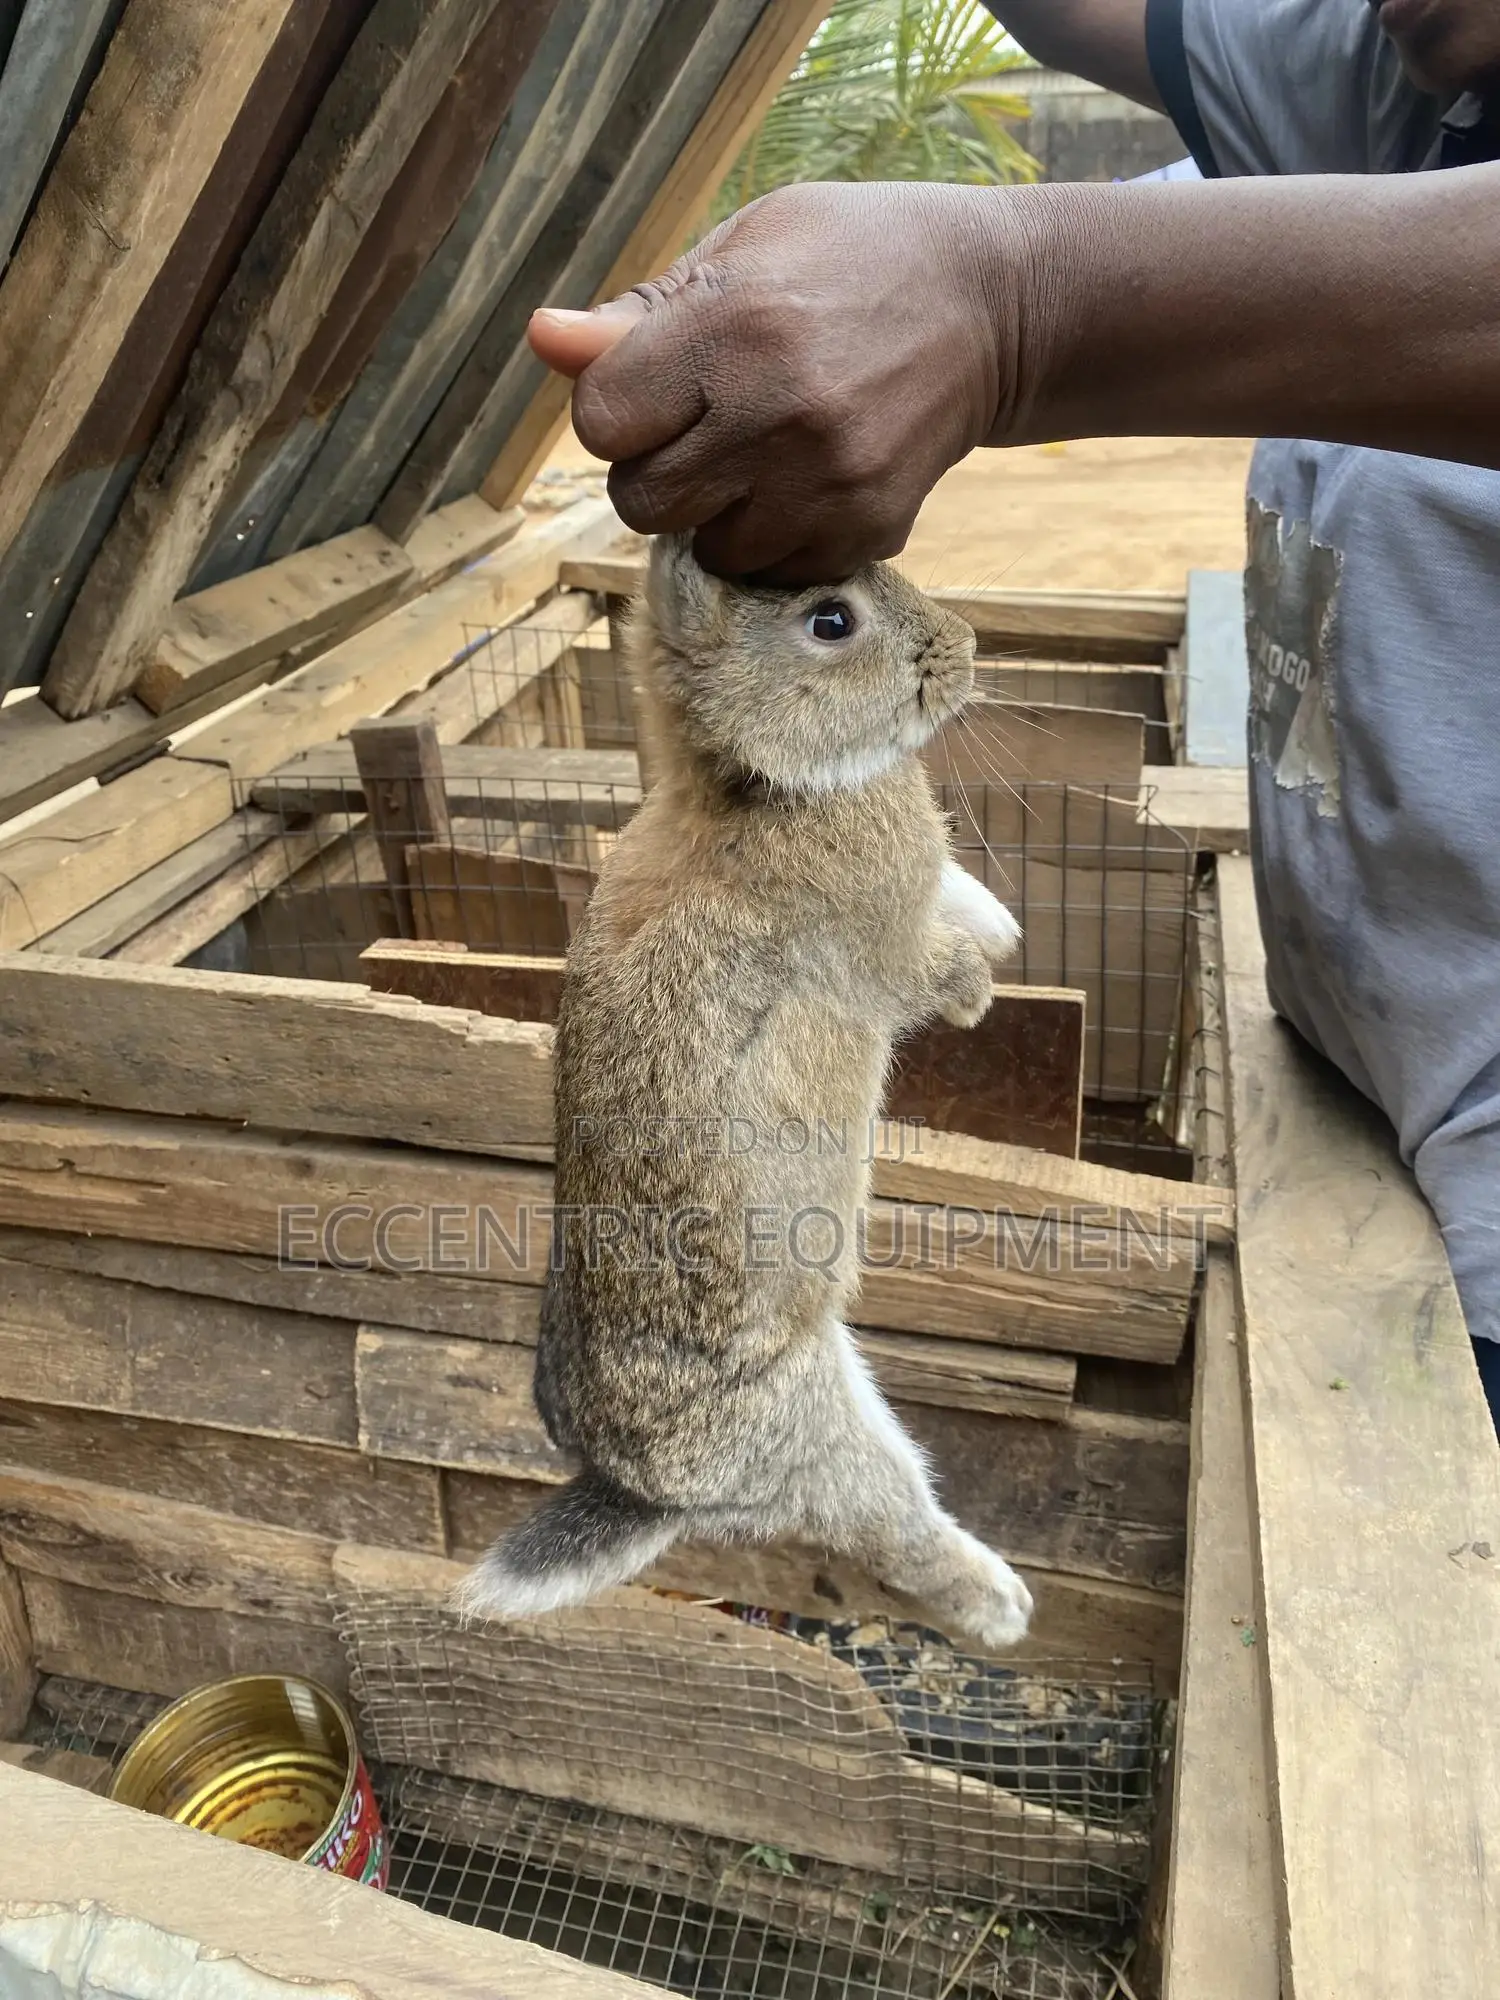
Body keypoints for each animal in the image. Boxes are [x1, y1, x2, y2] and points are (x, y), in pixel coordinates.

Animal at [454, 533, 1032, 1652]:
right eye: (831, 621)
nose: (968, 647)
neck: (760, 785)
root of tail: (648, 1490)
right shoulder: (884, 949)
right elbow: (927, 964)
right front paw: (980, 988)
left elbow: (957, 893)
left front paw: (1006, 927)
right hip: (818, 1428)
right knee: (894, 1526)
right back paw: (1005, 1605)